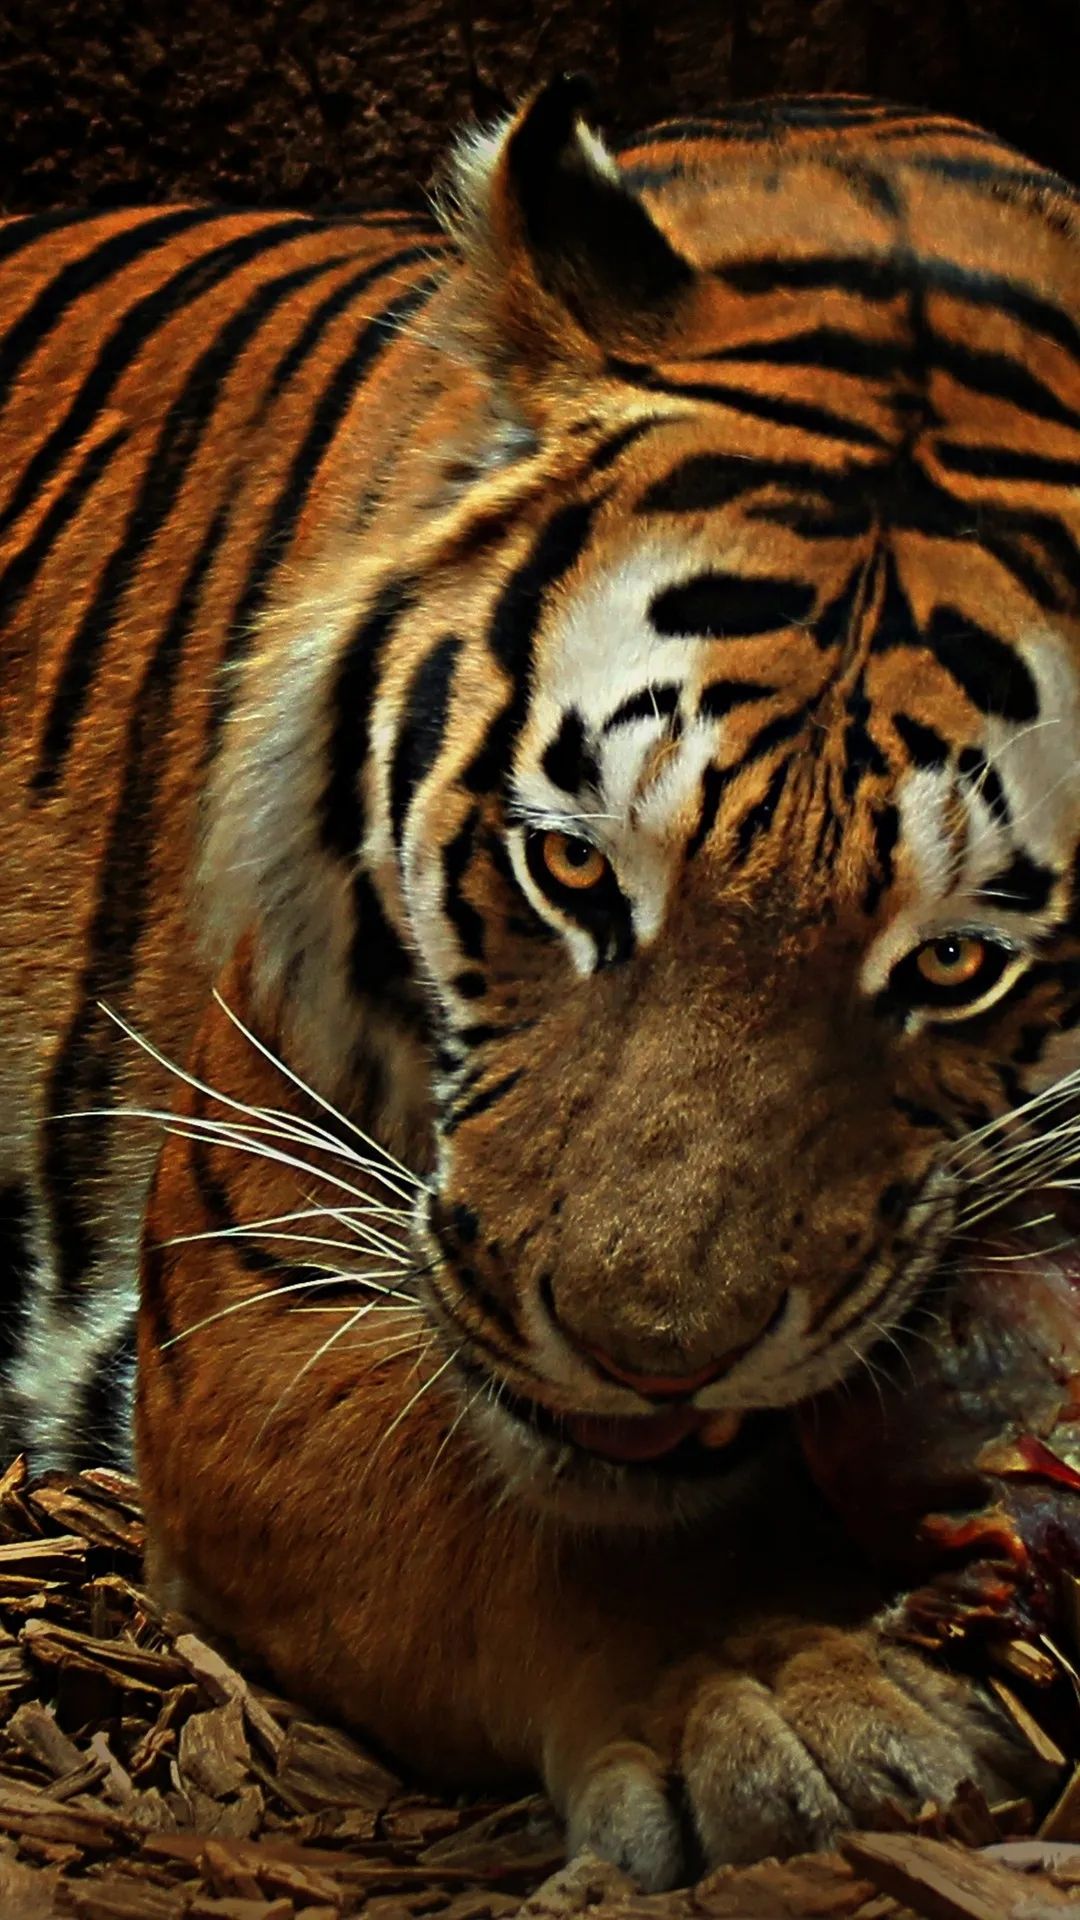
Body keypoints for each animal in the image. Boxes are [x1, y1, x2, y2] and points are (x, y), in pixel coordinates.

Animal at [1, 72, 1077, 1888]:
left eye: (955, 961)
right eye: (572, 871)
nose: (646, 1361)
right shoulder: (251, 1296)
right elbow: (548, 1535)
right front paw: (788, 1701)